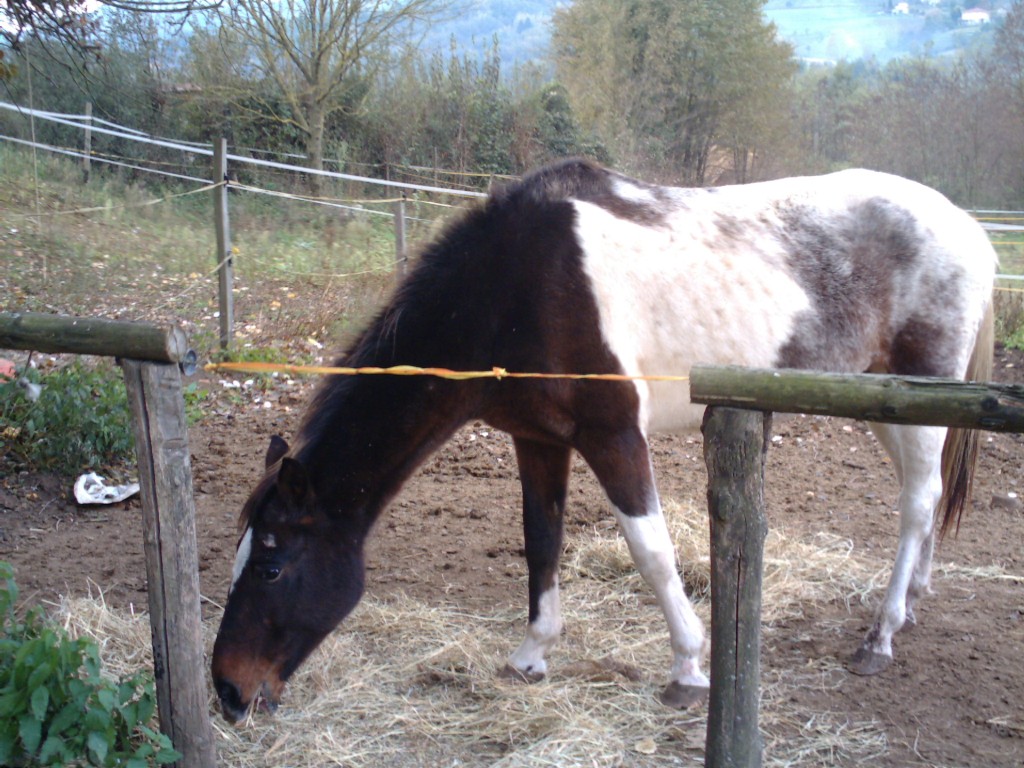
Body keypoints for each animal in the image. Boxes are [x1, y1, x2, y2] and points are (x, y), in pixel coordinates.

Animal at [207, 159, 991, 724]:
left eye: (271, 566)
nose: (228, 692)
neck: (515, 285)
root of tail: (971, 228)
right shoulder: (538, 442)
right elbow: (541, 541)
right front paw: (530, 657)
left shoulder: (614, 436)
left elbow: (651, 552)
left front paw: (688, 668)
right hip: (881, 399)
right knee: (920, 497)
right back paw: (912, 599)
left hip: (918, 396)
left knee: (918, 501)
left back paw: (880, 635)